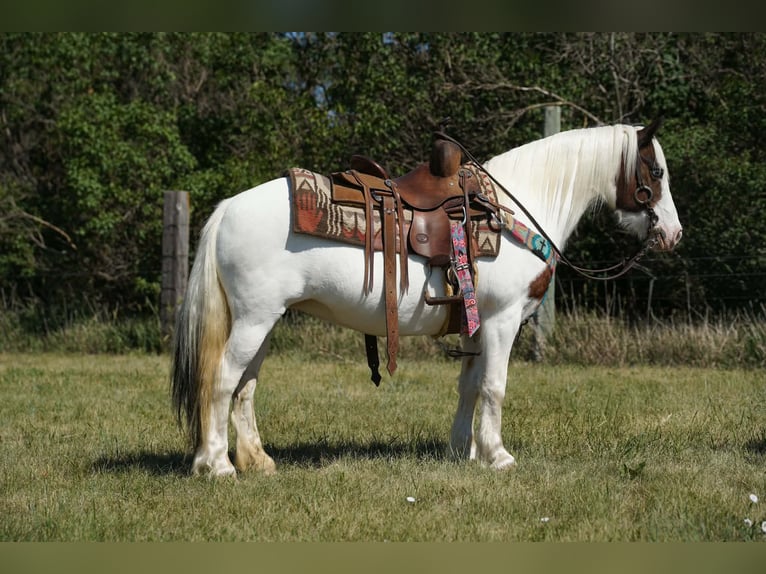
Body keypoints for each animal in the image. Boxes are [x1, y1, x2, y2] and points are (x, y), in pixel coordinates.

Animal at [170, 119, 683, 476]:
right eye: (656, 171)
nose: (674, 234)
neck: (514, 210)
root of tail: (227, 209)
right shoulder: (501, 319)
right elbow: (494, 386)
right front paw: (498, 456)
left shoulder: (476, 323)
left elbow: (469, 386)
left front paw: (463, 451)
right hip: (255, 319)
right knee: (221, 379)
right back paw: (217, 465)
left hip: (264, 321)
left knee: (245, 387)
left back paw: (256, 461)